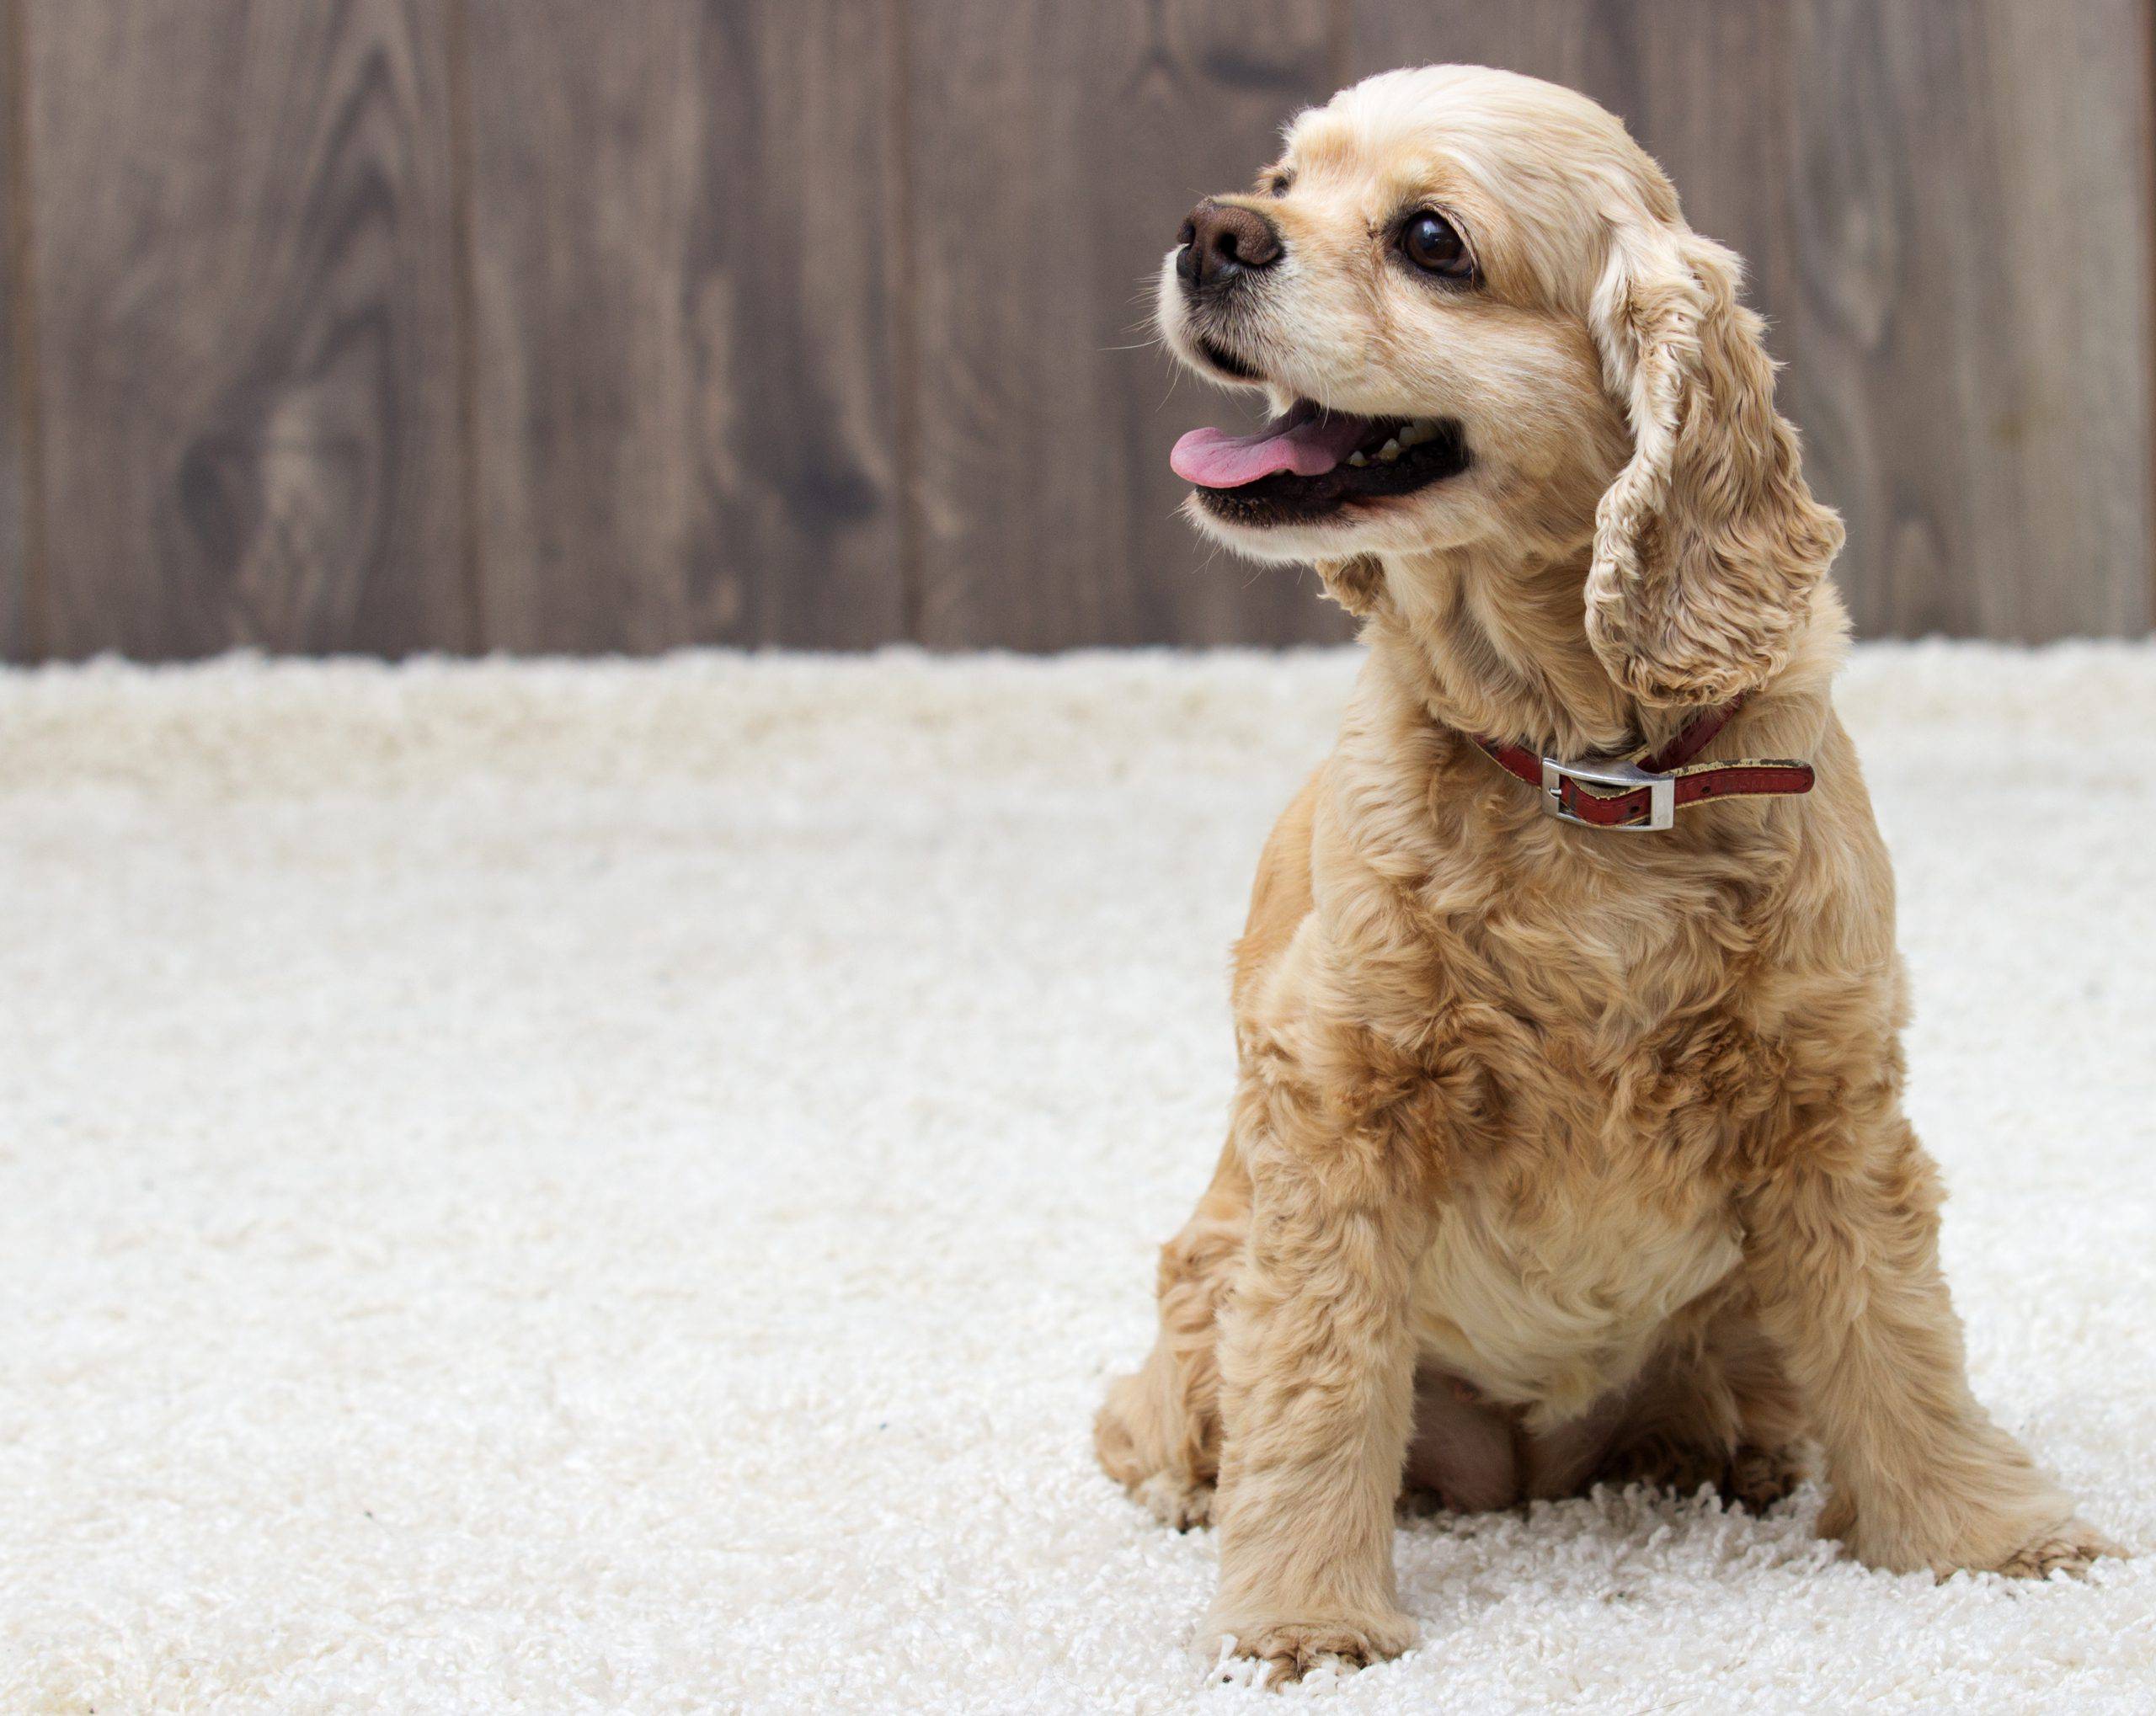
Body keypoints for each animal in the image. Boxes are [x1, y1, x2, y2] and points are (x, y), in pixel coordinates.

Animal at [1103, 70, 2112, 1690]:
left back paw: (1745, 1458)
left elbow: (1897, 1327)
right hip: (1203, 1285)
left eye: (1431, 238)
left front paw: (1983, 1530)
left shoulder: (1828, 1092)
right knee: (1160, 1419)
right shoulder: (1340, 1109)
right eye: (1283, 178)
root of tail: (1536, 1471)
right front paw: (1302, 1616)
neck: (1583, 776)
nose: (1213, 229)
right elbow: (1318, 1383)